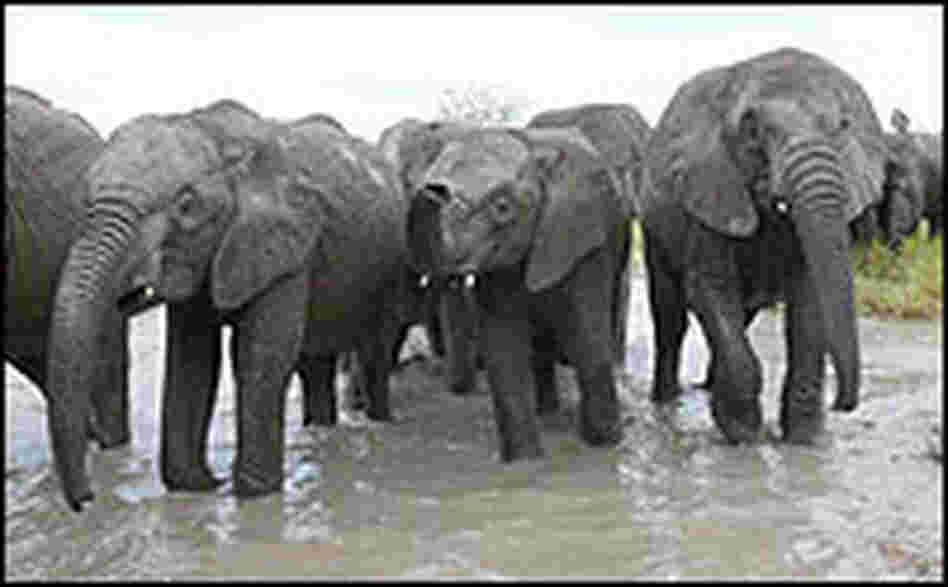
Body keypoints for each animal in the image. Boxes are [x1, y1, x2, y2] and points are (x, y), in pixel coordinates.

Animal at [46, 99, 412, 512]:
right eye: (86, 200)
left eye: (186, 205)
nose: (86, 500)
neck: (217, 137)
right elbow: (193, 360)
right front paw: (198, 487)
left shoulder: (288, 246)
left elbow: (259, 356)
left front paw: (253, 494)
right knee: (315, 364)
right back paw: (321, 432)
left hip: (390, 268)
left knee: (375, 352)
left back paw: (379, 422)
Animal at [405, 125, 630, 461]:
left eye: (502, 208)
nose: (432, 189)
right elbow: (504, 346)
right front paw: (525, 461)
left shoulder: (582, 240)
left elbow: (587, 338)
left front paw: (605, 445)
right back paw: (546, 413)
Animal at [639, 47, 903, 445]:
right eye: (752, 131)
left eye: (843, 126)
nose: (842, 404)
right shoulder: (711, 187)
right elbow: (711, 288)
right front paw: (743, 434)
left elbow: (809, 302)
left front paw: (804, 438)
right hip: (653, 225)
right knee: (671, 318)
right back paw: (668, 403)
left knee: (741, 315)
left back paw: (707, 388)